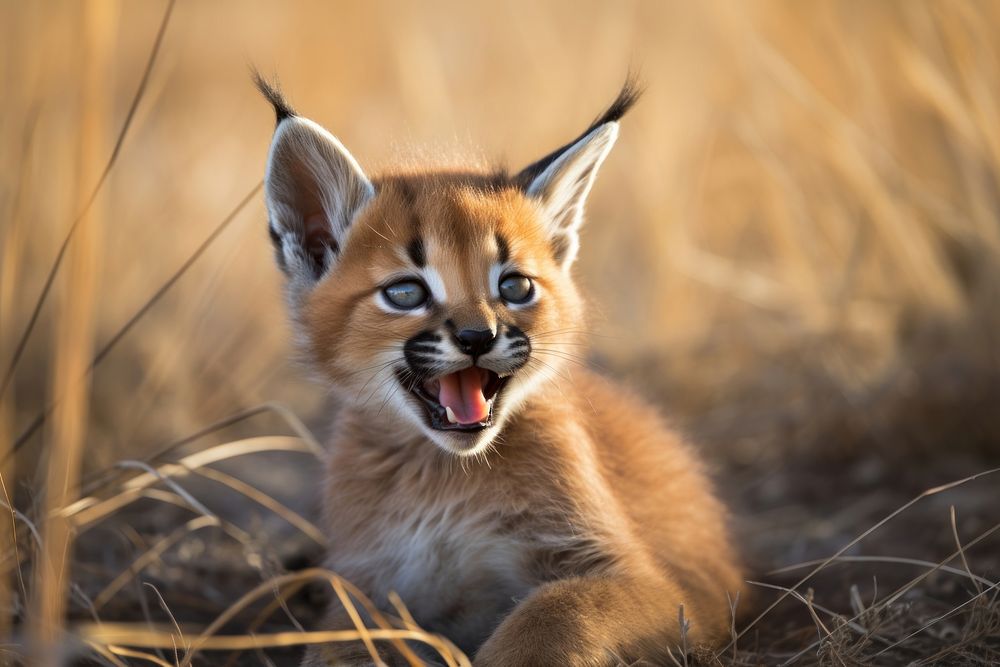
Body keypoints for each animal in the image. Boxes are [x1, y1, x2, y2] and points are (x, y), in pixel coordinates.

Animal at [256, 74, 744, 667]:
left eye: (514, 286)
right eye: (405, 293)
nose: (477, 337)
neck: (444, 473)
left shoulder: (661, 586)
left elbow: (559, 607)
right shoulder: (364, 585)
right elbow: (342, 645)